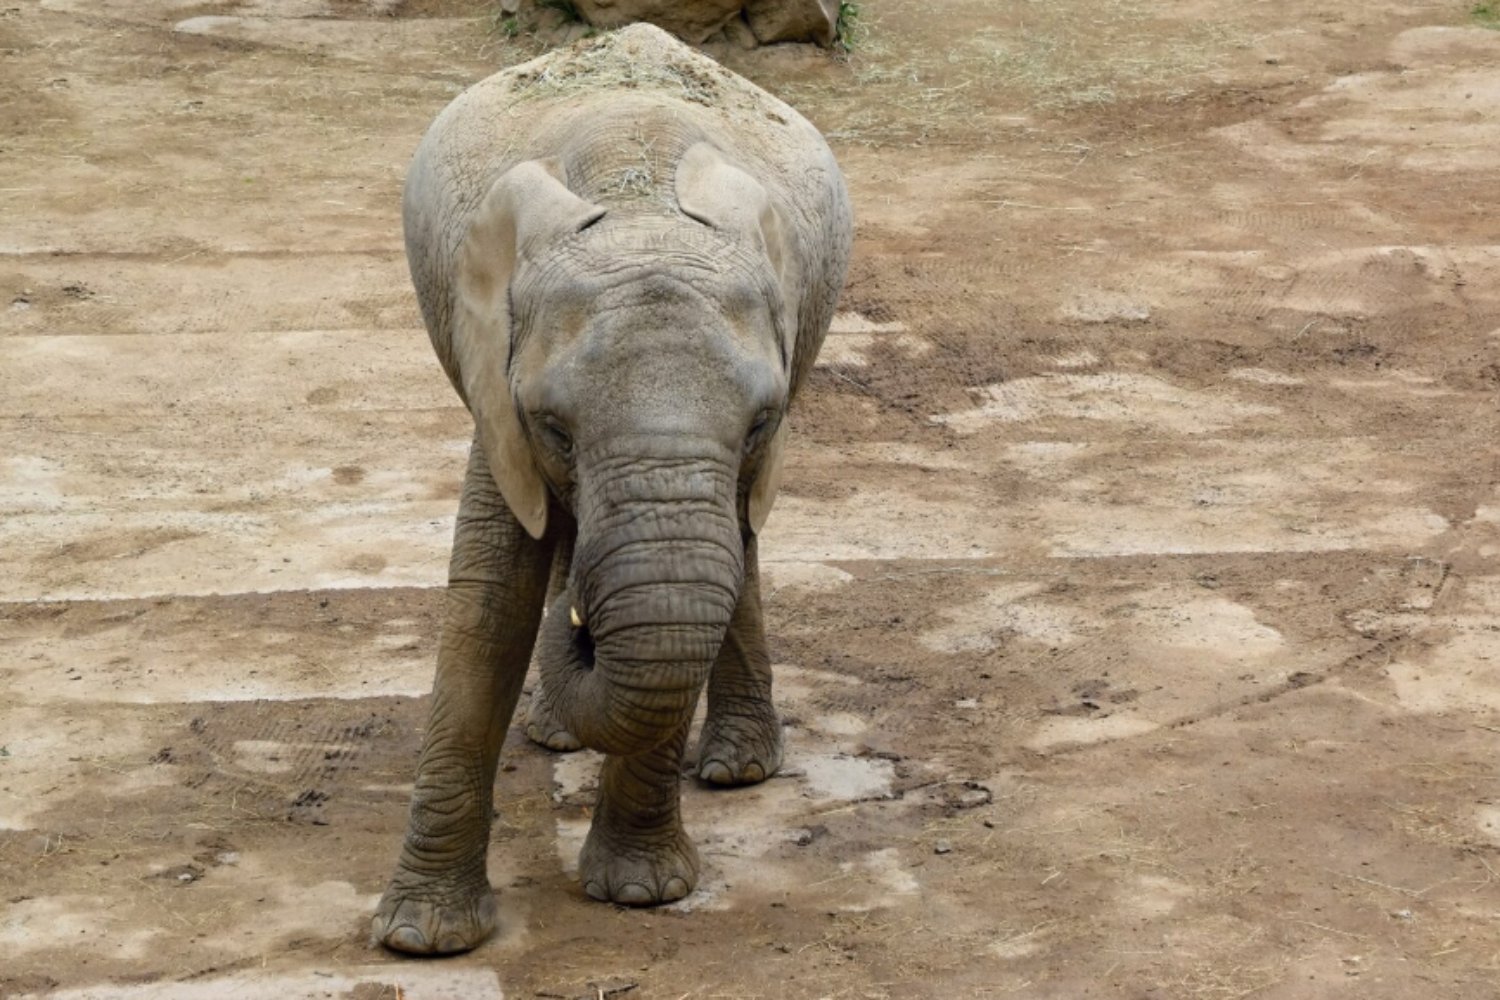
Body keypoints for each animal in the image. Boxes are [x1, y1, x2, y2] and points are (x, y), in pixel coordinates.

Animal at [371, 24, 852, 955]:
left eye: (762, 421)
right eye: (553, 426)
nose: (585, 620)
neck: (639, 202)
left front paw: (640, 893)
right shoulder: (495, 382)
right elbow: (491, 599)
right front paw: (422, 938)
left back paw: (737, 769)